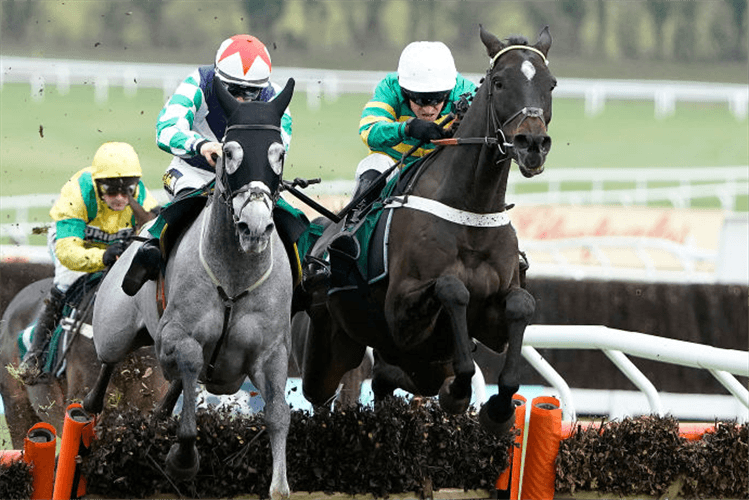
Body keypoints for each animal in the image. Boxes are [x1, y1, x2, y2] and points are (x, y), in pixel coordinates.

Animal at [82, 79, 292, 500]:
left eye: (279, 153)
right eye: (228, 151)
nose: (255, 227)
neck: (234, 279)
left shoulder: (270, 352)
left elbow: (278, 414)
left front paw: (279, 484)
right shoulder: (173, 335)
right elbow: (192, 360)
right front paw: (183, 458)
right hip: (114, 327)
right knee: (109, 364)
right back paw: (89, 414)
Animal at [298, 26, 556, 434]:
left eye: (550, 84)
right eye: (499, 82)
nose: (532, 144)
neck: (471, 211)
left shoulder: (492, 323)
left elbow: (521, 304)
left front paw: (499, 409)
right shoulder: (400, 315)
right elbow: (451, 288)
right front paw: (461, 392)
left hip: (419, 366)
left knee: (386, 380)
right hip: (330, 345)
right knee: (321, 394)